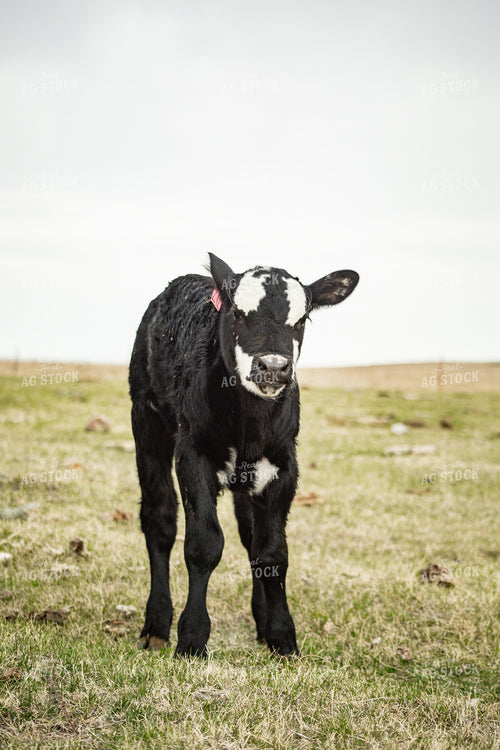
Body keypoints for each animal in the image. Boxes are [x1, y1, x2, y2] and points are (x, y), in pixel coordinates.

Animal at [129, 254, 359, 657]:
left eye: (302, 319)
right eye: (237, 312)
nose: (273, 367)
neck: (249, 421)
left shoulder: (284, 466)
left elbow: (271, 552)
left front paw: (282, 637)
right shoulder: (193, 455)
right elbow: (204, 545)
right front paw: (192, 638)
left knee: (249, 536)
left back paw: (262, 624)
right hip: (146, 419)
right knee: (159, 521)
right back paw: (156, 625)